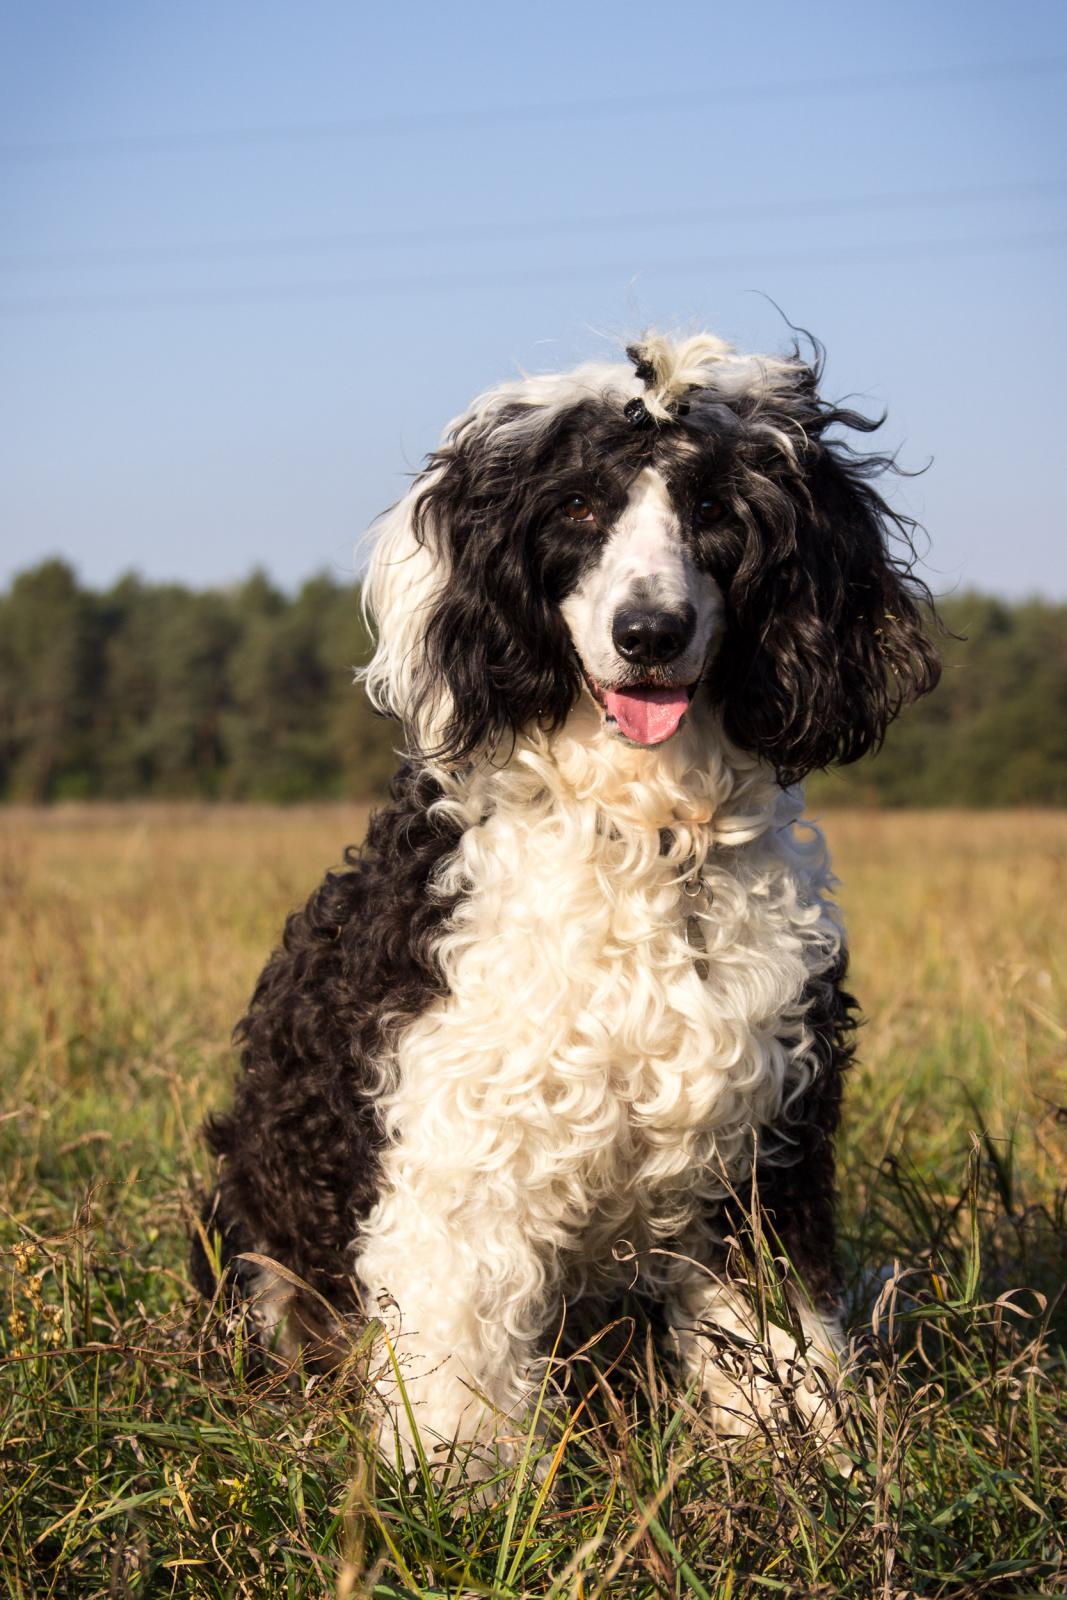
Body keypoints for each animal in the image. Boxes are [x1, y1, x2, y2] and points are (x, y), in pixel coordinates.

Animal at [192, 330, 939, 1466]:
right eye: (579, 507)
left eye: (713, 506)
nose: (649, 631)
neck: (642, 837)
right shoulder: (459, 1165)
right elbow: (457, 1375)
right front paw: (458, 1488)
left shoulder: (756, 1154)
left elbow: (777, 1350)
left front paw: (811, 1467)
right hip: (254, 1254)